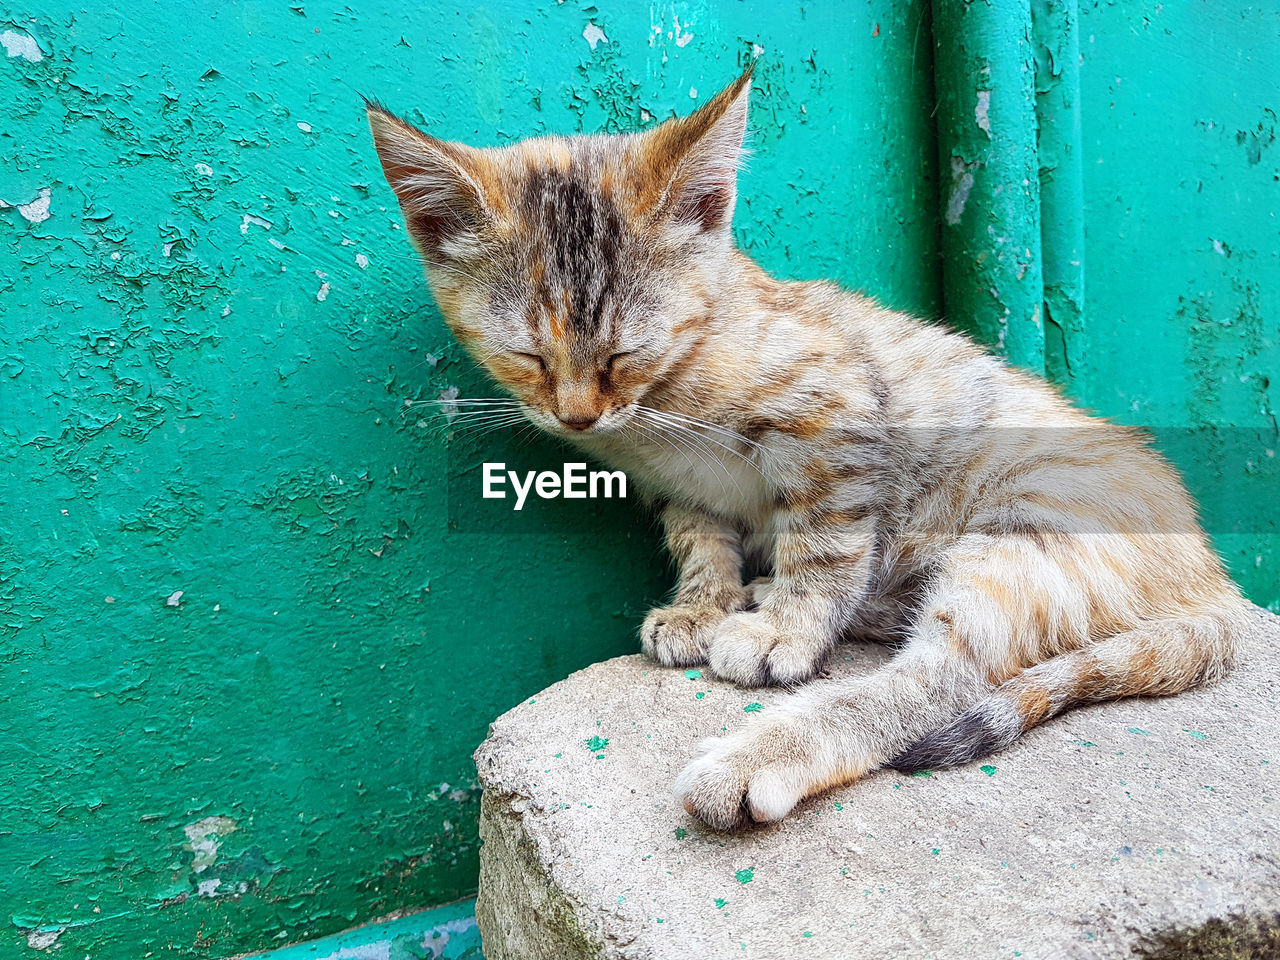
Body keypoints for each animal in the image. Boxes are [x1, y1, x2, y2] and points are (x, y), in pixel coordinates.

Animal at [368, 69, 1239, 834]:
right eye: (528, 357)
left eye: (623, 353)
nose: (578, 418)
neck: (666, 398)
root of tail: (1211, 578)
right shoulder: (683, 488)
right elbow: (701, 537)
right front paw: (706, 603)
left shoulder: (837, 418)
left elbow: (824, 548)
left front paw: (784, 627)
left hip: (1029, 528)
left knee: (940, 682)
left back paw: (760, 755)